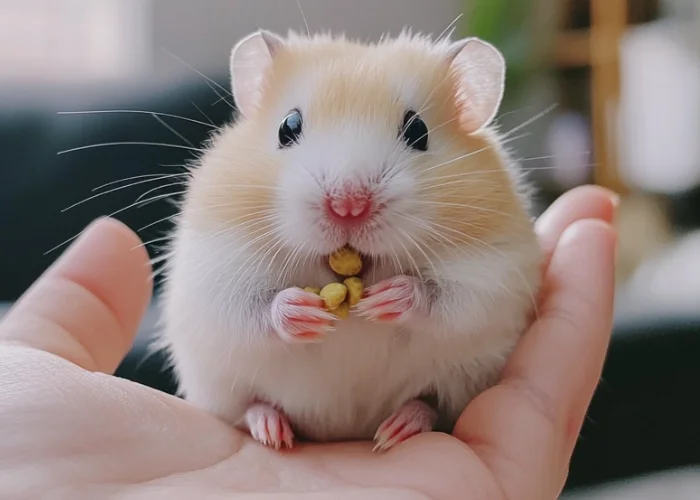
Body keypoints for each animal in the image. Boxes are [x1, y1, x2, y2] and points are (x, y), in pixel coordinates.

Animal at [157, 30, 540, 454]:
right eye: (287, 127)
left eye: (418, 131)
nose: (348, 205)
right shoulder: (215, 268)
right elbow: (250, 307)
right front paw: (306, 312)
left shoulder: (493, 273)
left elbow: (446, 299)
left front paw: (386, 299)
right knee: (249, 406)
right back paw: (273, 430)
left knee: (432, 404)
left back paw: (396, 429)